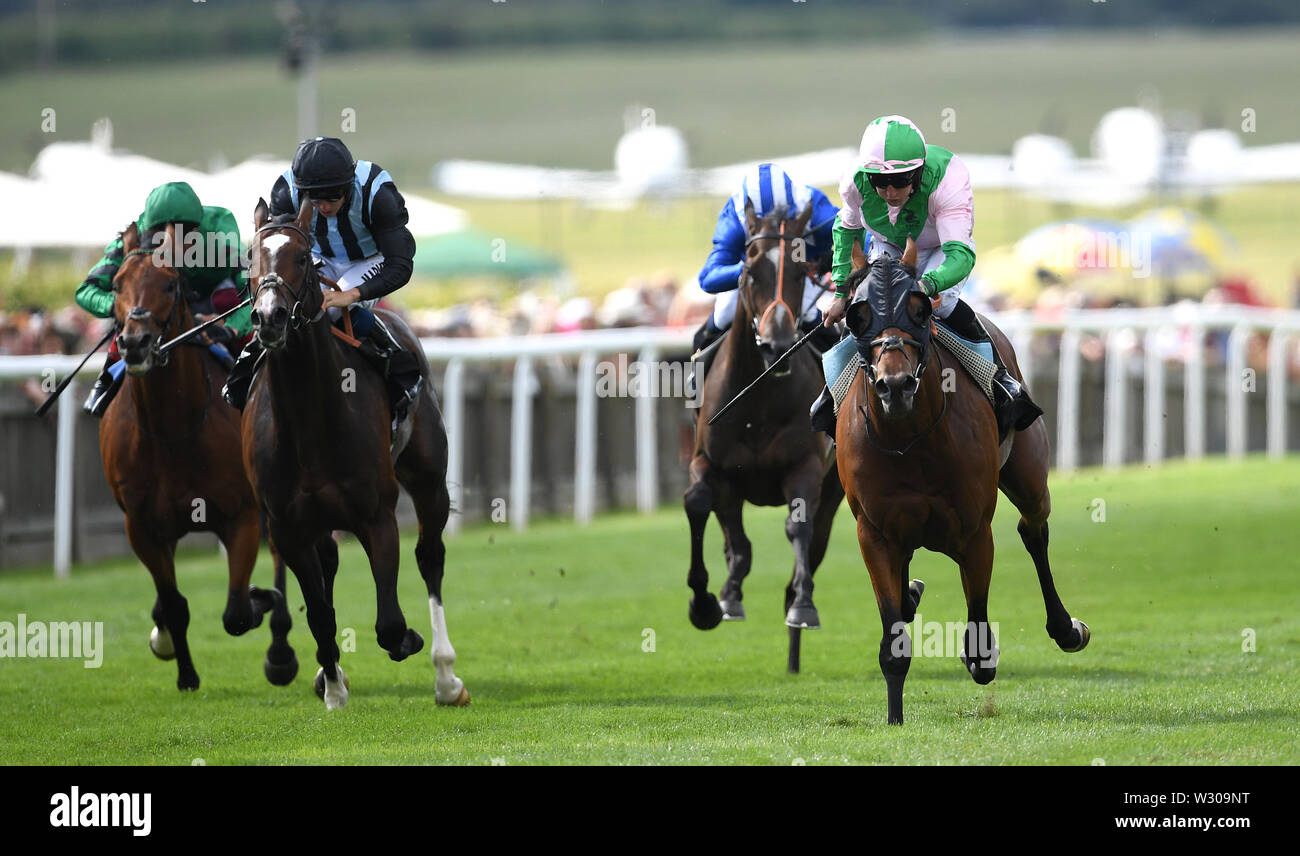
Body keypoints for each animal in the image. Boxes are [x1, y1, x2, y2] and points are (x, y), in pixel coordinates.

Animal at [100, 219, 295, 686]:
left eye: (171, 285)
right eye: (116, 285)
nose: (134, 343)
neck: (171, 432)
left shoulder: (242, 515)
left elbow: (238, 612)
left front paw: (262, 599)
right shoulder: (141, 526)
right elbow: (173, 604)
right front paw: (184, 670)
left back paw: (281, 647)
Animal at [244, 196, 467, 707]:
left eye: (303, 259)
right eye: (250, 257)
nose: (269, 317)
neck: (308, 421)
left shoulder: (377, 515)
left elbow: (390, 623)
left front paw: (410, 641)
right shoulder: (288, 527)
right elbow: (319, 613)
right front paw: (332, 686)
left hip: (428, 479)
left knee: (430, 556)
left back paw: (447, 678)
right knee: (329, 567)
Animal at [686, 196, 847, 671]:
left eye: (799, 272)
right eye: (751, 270)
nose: (777, 347)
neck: (757, 401)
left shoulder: (806, 466)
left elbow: (799, 527)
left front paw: (803, 606)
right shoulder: (708, 462)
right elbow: (699, 503)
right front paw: (705, 603)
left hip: (834, 488)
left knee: (814, 540)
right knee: (735, 544)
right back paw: (729, 596)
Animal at [832, 238, 1086, 718]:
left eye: (919, 309)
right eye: (857, 315)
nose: (895, 385)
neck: (909, 440)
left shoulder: (973, 531)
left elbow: (980, 650)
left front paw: (979, 654)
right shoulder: (873, 532)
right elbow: (893, 644)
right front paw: (895, 718)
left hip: (1028, 474)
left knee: (1033, 530)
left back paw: (1066, 627)